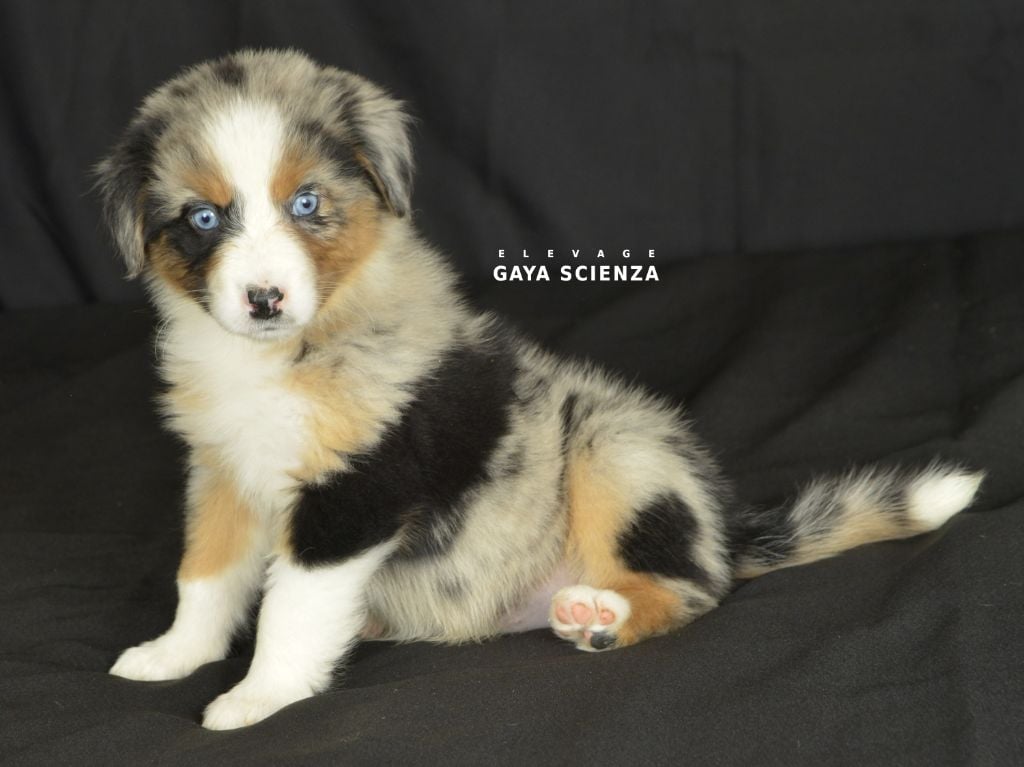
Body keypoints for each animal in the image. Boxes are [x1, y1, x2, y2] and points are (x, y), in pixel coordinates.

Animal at [97, 49, 983, 730]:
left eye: (306, 202)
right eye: (203, 219)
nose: (264, 299)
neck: (283, 352)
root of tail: (727, 530)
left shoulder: (355, 491)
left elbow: (290, 607)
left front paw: (258, 697)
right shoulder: (221, 470)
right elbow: (205, 574)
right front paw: (174, 654)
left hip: (620, 454)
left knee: (693, 588)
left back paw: (603, 617)